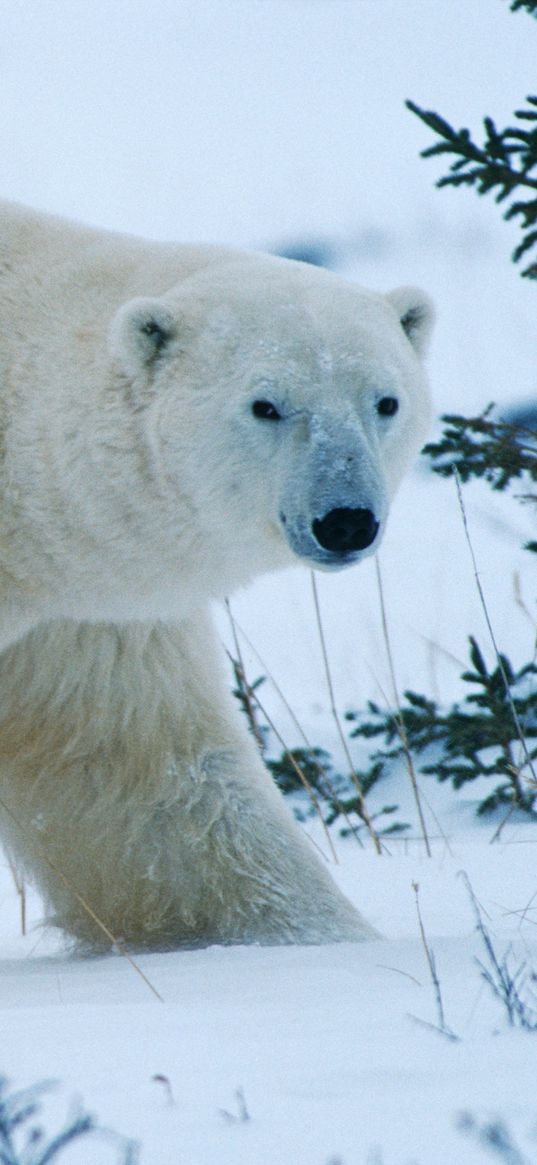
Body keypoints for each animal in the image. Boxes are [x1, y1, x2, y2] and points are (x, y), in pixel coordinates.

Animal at [0, 200, 430, 945]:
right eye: (266, 405)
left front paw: (323, 938)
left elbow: (140, 770)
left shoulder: (79, 621)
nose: (346, 519)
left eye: (385, 401)